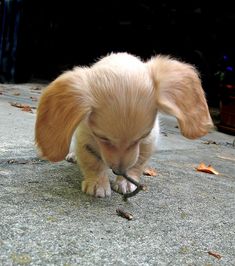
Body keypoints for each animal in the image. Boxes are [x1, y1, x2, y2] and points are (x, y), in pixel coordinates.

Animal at [34, 52, 213, 197]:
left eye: (142, 136)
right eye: (102, 138)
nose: (118, 171)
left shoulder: (149, 140)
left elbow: (138, 163)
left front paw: (126, 181)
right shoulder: (85, 138)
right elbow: (93, 162)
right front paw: (98, 184)